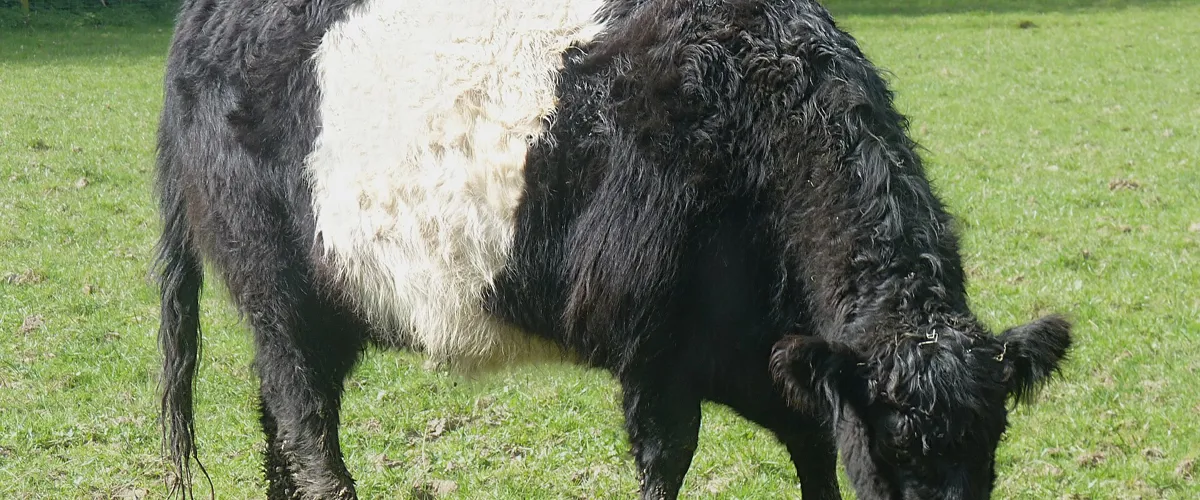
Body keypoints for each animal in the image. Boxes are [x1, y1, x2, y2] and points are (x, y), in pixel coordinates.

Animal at [152, 0, 1073, 498]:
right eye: (899, 448)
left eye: (991, 442)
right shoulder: (655, 352)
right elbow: (667, 462)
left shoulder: (773, 359)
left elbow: (814, 452)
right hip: (281, 293)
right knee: (306, 424)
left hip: (315, 311)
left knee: (277, 415)